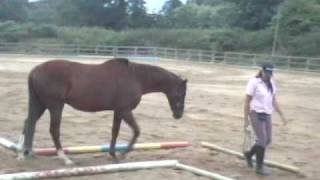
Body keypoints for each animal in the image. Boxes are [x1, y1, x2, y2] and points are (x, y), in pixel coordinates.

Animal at [16, 58, 188, 165]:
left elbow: (115, 132)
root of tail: (34, 71)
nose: (178, 115)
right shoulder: (125, 110)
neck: (135, 77)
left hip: (40, 104)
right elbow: (136, 131)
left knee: (29, 123)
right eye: (181, 93)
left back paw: (24, 153)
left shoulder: (118, 111)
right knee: (53, 130)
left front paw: (113, 155)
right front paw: (122, 154)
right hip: (55, 106)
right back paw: (65, 159)